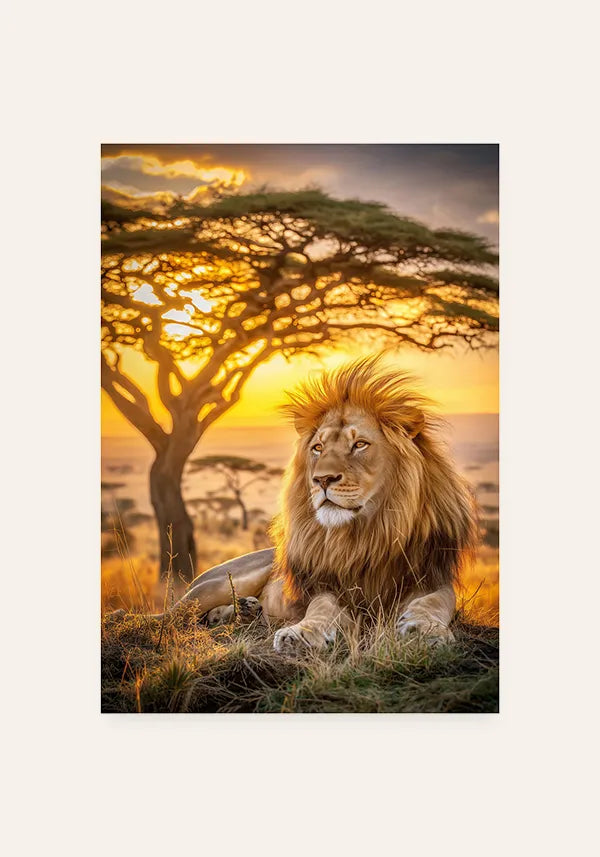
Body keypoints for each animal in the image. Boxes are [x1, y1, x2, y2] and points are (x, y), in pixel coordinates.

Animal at [135, 356, 478, 652]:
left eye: (360, 444)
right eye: (317, 448)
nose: (321, 480)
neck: (368, 534)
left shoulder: (430, 576)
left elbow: (434, 602)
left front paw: (423, 630)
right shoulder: (327, 585)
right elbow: (320, 608)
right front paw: (301, 634)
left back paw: (243, 612)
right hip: (217, 584)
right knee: (173, 615)